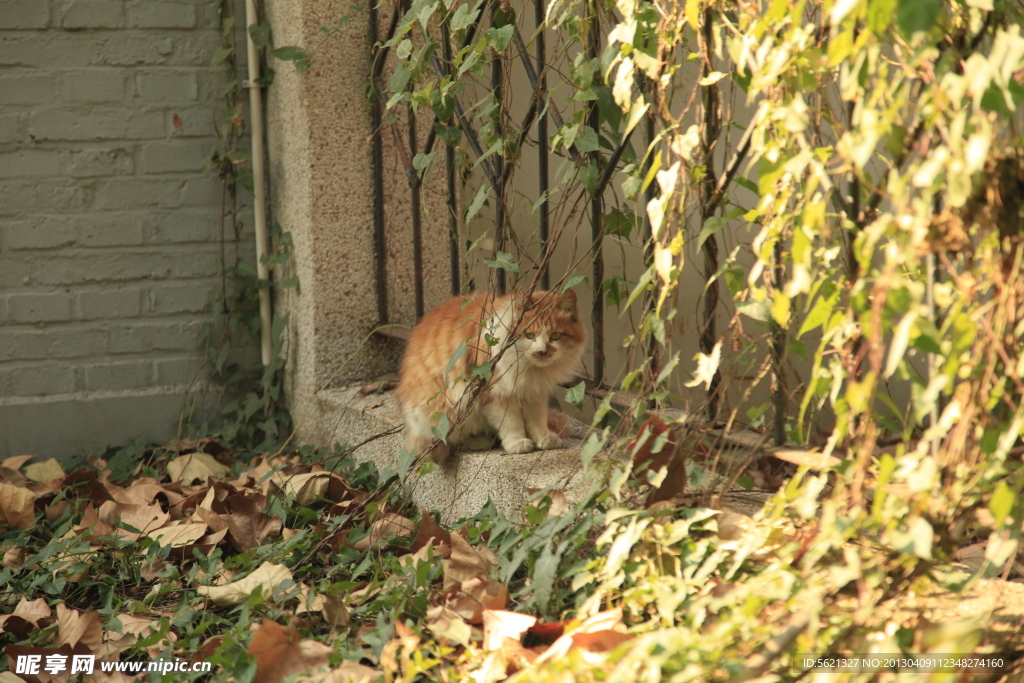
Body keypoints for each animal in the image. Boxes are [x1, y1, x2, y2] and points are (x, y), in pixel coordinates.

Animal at [397, 286, 585, 466]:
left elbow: (537, 420)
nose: (542, 352)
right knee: (449, 441)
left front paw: (544, 438)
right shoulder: (495, 391)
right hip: (451, 405)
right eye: (530, 335)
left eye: (555, 336)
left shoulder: (534, 393)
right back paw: (481, 442)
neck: (530, 369)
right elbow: (510, 422)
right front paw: (517, 443)